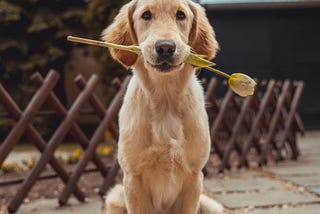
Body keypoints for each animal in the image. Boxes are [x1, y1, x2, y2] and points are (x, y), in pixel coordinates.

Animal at [102, 0, 222, 213]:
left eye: (181, 15)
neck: (165, 100)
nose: (165, 47)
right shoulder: (133, 178)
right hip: (115, 198)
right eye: (146, 15)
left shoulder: (194, 177)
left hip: (211, 205)